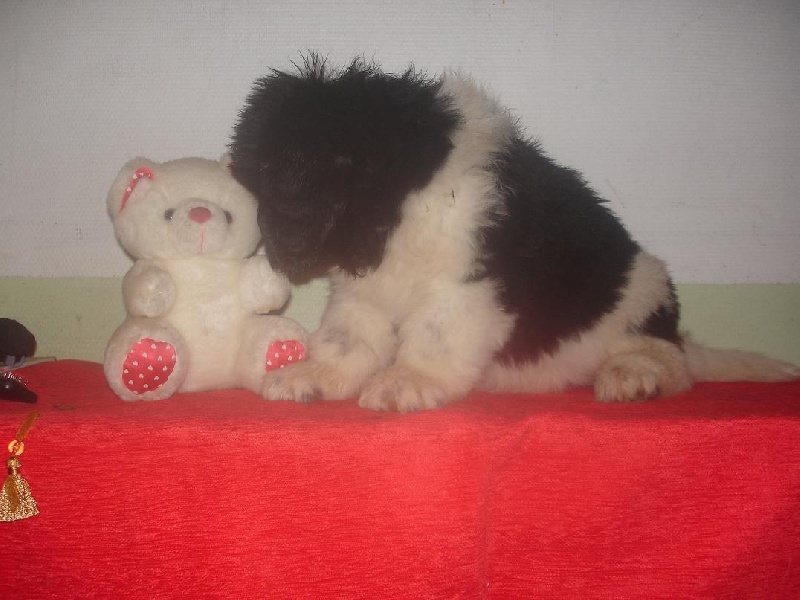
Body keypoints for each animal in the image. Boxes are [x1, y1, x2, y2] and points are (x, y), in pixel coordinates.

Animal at [229, 56, 799, 412]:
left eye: (277, 185)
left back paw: (636, 376)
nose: (272, 249)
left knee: (672, 362)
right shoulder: (365, 292)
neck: (401, 190)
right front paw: (314, 376)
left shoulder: (466, 285)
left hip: (643, 293)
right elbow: (347, 337)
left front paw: (408, 381)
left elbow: (433, 336)